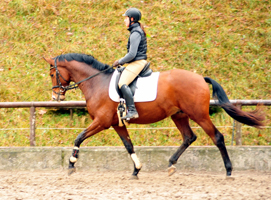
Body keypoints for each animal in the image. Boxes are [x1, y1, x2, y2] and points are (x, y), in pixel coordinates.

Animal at [44, 52, 266, 178]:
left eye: (52, 73)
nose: (56, 96)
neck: (97, 82)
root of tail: (200, 78)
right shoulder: (117, 124)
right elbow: (128, 145)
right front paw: (136, 169)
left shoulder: (102, 122)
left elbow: (79, 137)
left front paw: (71, 164)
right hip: (179, 115)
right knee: (189, 137)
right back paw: (171, 165)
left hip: (199, 114)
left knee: (217, 137)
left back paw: (228, 170)